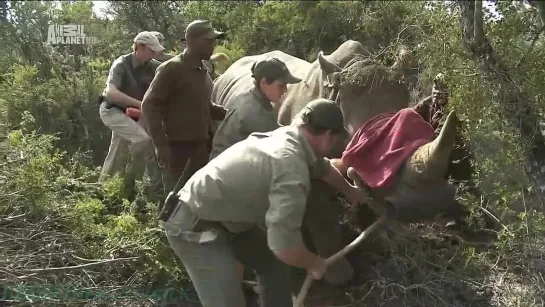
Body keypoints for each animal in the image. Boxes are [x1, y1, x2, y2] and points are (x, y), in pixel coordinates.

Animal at [210, 41, 462, 292]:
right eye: (361, 141)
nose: (424, 205)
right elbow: (322, 215)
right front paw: (337, 276)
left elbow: (363, 198)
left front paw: (379, 244)